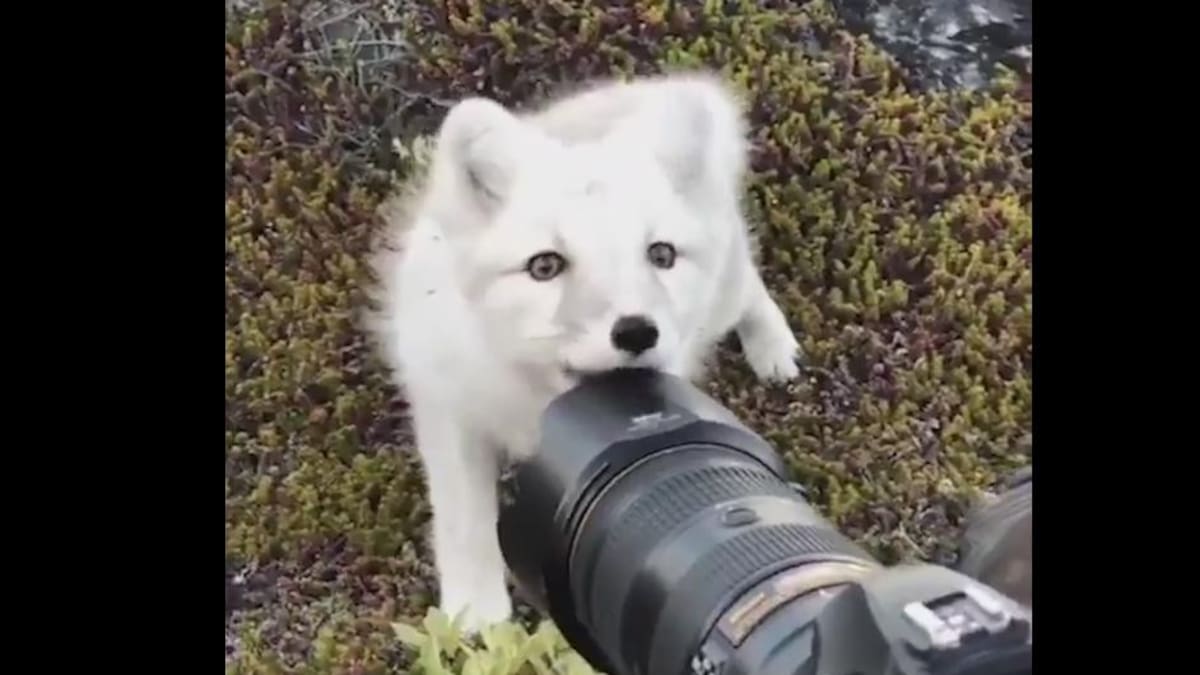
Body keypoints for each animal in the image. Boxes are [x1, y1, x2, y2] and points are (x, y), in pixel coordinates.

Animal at [366, 71, 803, 632]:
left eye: (661, 255)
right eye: (544, 266)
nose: (637, 332)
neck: (538, 400)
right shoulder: (450, 408)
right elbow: (465, 518)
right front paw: (476, 613)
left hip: (723, 293)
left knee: (747, 278)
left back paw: (772, 346)